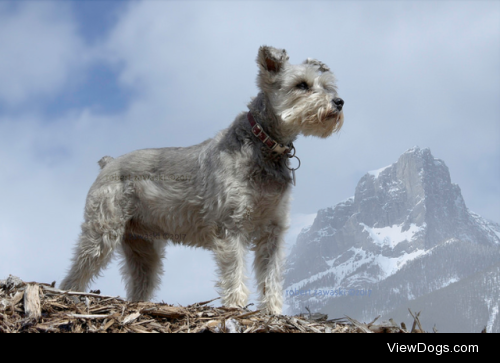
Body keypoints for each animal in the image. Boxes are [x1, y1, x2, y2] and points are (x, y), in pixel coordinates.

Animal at [60, 46, 344, 316]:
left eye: (327, 85)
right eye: (302, 85)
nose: (339, 101)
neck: (264, 142)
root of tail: (108, 163)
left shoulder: (272, 231)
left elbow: (271, 278)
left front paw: (273, 312)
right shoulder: (232, 227)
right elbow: (235, 273)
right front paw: (236, 307)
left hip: (143, 246)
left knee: (140, 282)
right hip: (102, 233)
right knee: (74, 275)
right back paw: (69, 298)